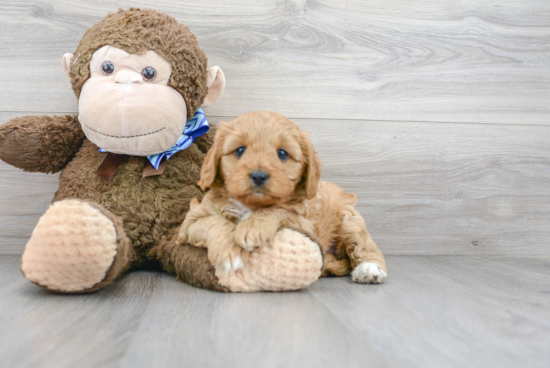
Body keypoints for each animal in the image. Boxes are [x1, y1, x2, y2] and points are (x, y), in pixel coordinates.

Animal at [180, 110, 388, 284]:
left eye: (282, 153)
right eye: (240, 150)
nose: (259, 175)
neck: (251, 205)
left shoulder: (305, 224)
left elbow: (278, 209)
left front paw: (252, 228)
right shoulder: (189, 223)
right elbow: (214, 221)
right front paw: (229, 252)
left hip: (348, 220)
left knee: (363, 244)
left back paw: (369, 269)